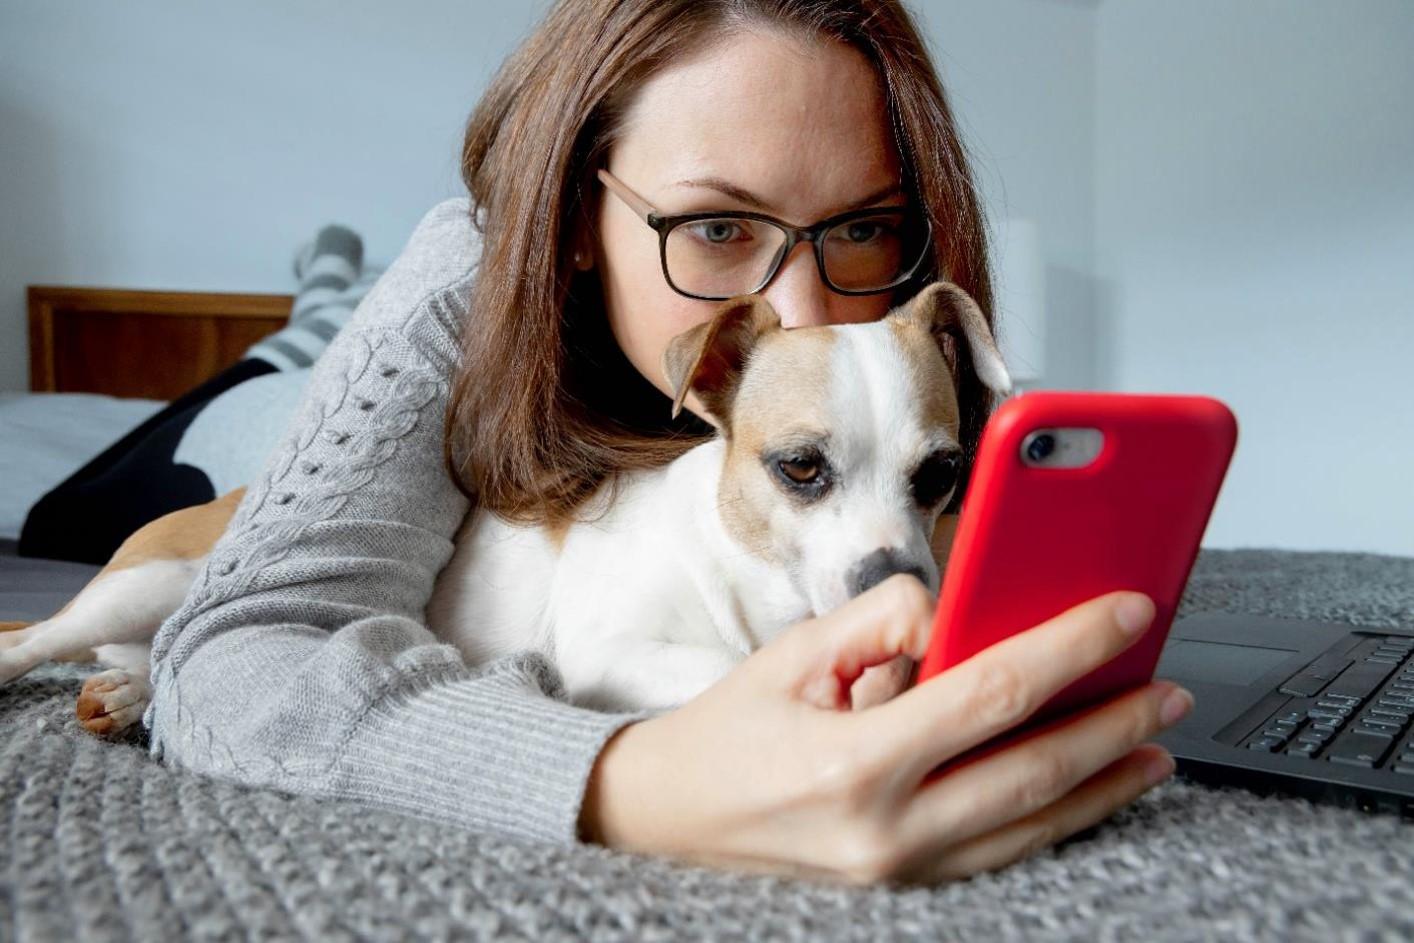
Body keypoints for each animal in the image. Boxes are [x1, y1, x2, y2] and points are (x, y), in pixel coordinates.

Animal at [2, 279, 1018, 729]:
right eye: (800, 467)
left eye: (942, 473)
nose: (902, 583)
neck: (750, 574)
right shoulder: (616, 650)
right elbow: (727, 670)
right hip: (142, 584)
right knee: (39, 636)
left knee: (168, 661)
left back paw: (131, 692)